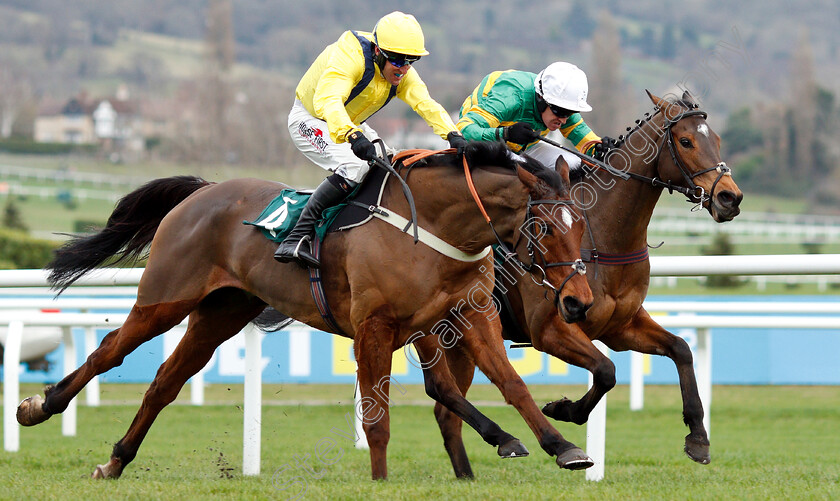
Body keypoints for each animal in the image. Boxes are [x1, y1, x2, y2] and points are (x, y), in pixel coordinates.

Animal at [14, 143, 596, 478]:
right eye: (545, 227)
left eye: (582, 224)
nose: (577, 301)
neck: (434, 228)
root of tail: (203, 191)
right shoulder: (373, 327)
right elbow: (377, 416)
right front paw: (380, 481)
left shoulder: (468, 318)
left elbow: (510, 385)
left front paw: (562, 445)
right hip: (164, 298)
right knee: (110, 351)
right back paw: (39, 406)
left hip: (220, 313)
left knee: (164, 383)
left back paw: (116, 460)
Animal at [434, 90, 740, 476]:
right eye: (686, 141)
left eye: (717, 139)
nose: (731, 198)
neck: (601, 236)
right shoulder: (550, 330)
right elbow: (606, 371)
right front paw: (563, 410)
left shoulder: (620, 326)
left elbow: (681, 349)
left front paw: (698, 437)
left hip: (459, 341)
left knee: (446, 411)